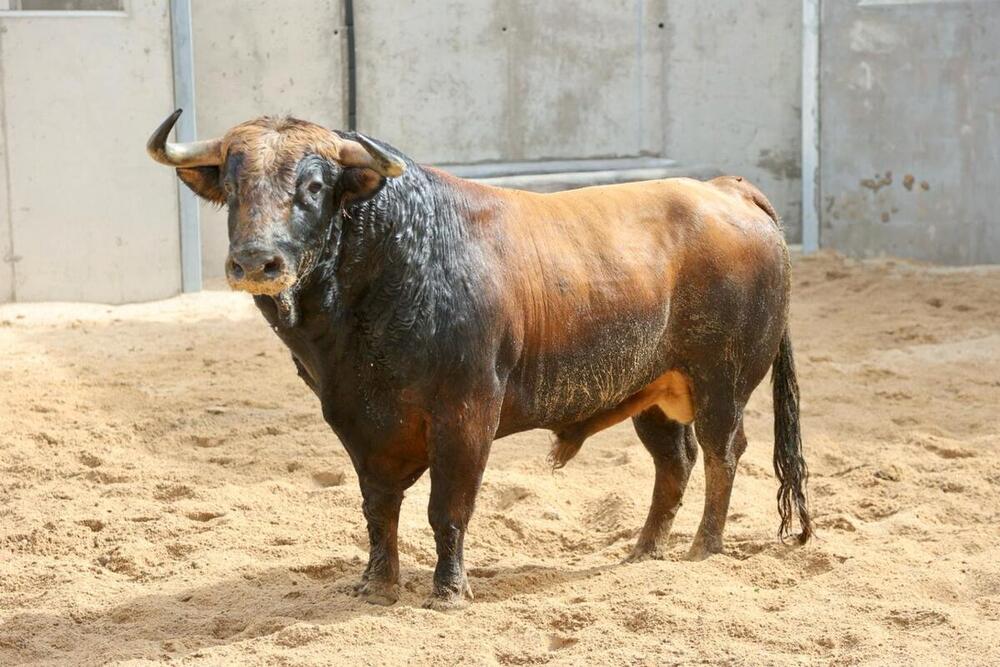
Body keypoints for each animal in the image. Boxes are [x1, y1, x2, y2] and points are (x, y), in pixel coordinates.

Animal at [146, 109, 812, 612]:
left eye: (313, 187)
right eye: (233, 187)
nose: (255, 262)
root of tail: (726, 189)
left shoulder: (467, 412)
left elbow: (449, 506)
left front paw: (448, 591)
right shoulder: (356, 421)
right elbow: (378, 506)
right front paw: (377, 585)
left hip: (721, 382)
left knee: (724, 452)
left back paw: (703, 547)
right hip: (651, 390)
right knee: (675, 462)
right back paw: (644, 550)